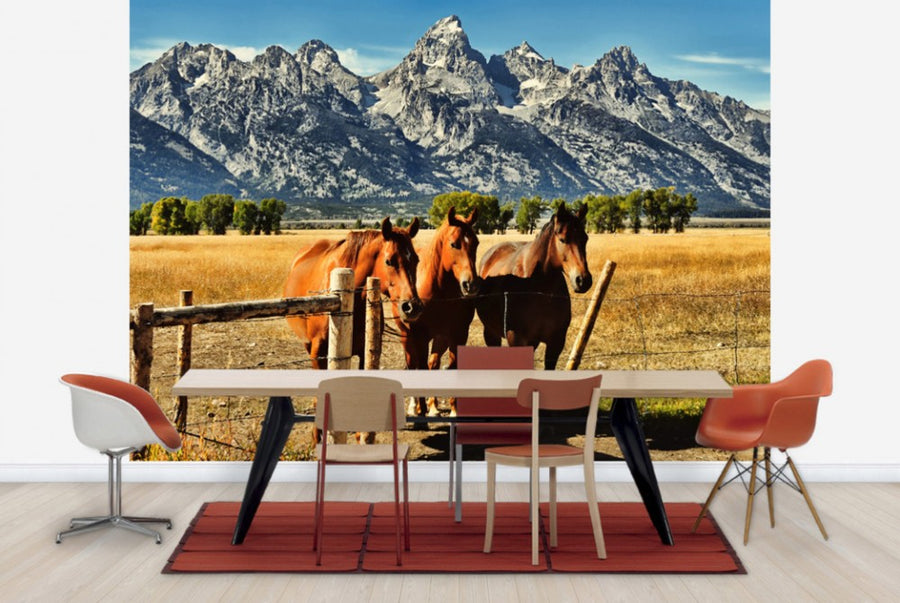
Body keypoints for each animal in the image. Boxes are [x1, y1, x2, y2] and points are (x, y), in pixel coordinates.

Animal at [392, 208, 478, 416]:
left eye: (476, 243)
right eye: (454, 244)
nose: (470, 285)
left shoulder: (458, 334)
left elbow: (452, 367)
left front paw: (453, 410)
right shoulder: (421, 336)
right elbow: (419, 367)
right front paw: (420, 407)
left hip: (440, 338)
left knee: (433, 363)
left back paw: (433, 405)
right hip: (406, 335)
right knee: (413, 364)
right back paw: (415, 406)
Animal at [474, 205, 596, 370]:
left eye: (585, 239)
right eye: (562, 239)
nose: (583, 280)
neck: (539, 290)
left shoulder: (555, 343)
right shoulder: (517, 340)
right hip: (491, 332)